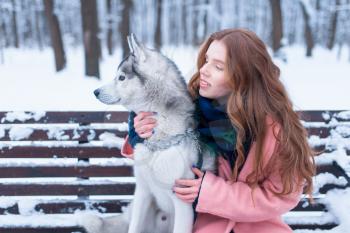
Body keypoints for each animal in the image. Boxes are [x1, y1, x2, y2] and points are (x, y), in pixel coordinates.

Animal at [87, 33, 215, 233]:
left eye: (121, 77)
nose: (95, 91)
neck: (159, 143)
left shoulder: (183, 204)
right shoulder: (143, 192)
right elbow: (133, 228)